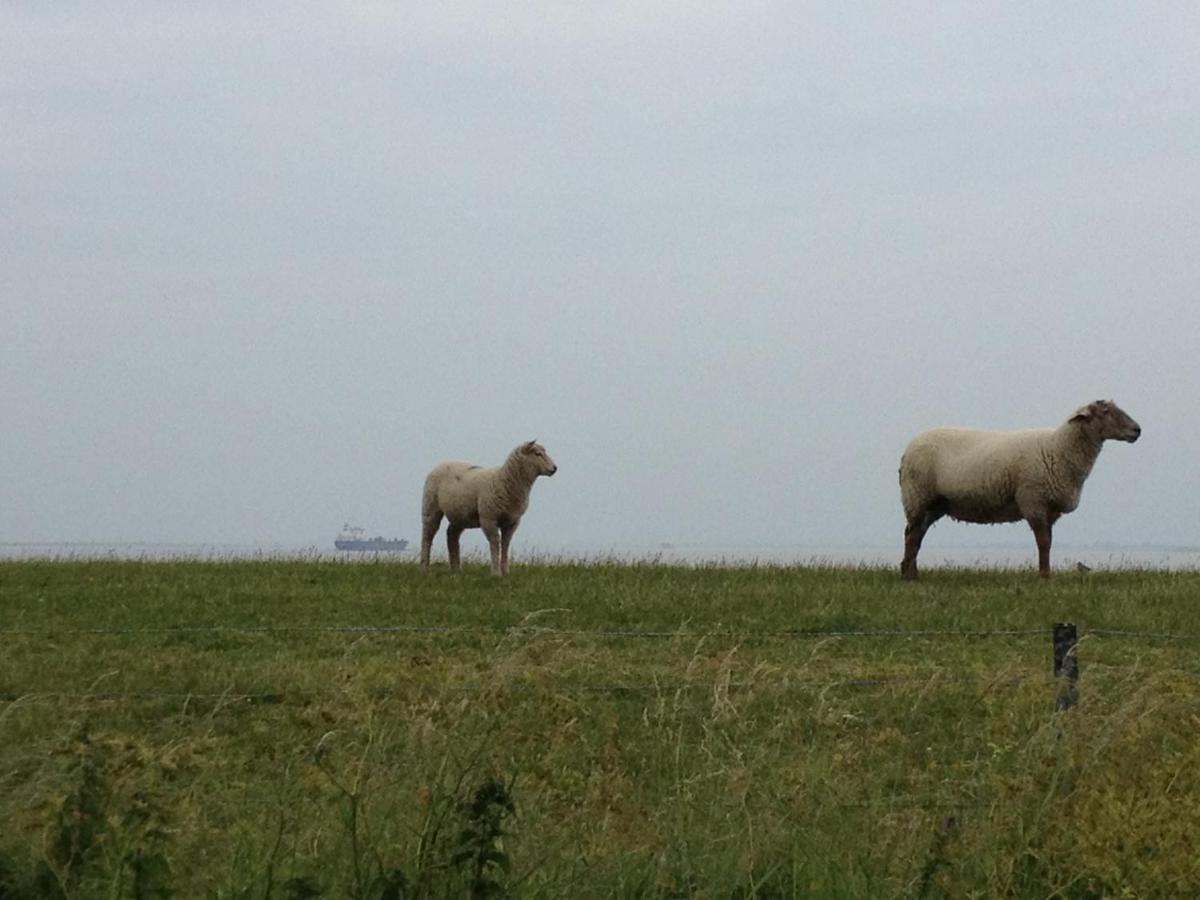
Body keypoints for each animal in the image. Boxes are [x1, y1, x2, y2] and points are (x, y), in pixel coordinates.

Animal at [420, 441, 559, 578]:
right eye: (537, 454)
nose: (554, 468)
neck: (505, 481)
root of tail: (443, 463)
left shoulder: (513, 521)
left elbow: (505, 544)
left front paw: (506, 571)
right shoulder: (488, 518)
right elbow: (495, 543)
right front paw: (496, 573)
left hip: (460, 514)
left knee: (451, 535)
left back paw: (456, 570)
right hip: (431, 507)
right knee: (427, 536)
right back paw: (425, 568)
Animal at [902, 398, 1142, 580]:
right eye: (1105, 412)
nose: (1137, 430)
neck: (1058, 448)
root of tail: (907, 449)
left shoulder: (1050, 509)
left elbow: (1049, 542)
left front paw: (1046, 574)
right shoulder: (1033, 501)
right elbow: (1043, 543)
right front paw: (1044, 577)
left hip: (934, 504)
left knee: (916, 535)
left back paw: (910, 572)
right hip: (917, 496)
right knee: (912, 536)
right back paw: (910, 577)